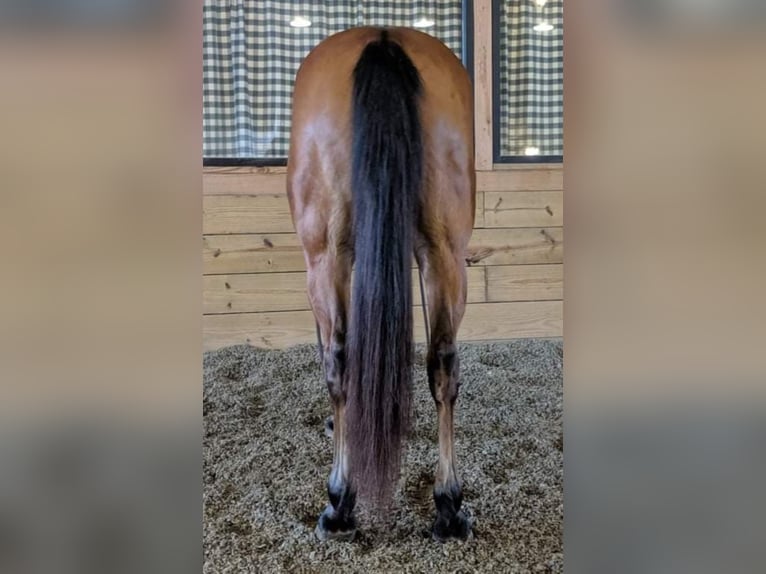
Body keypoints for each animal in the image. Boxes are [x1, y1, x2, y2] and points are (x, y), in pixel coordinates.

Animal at [288, 24, 476, 544]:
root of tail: (382, 37)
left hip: (327, 254)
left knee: (340, 361)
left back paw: (339, 503)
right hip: (444, 250)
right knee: (443, 362)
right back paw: (448, 507)